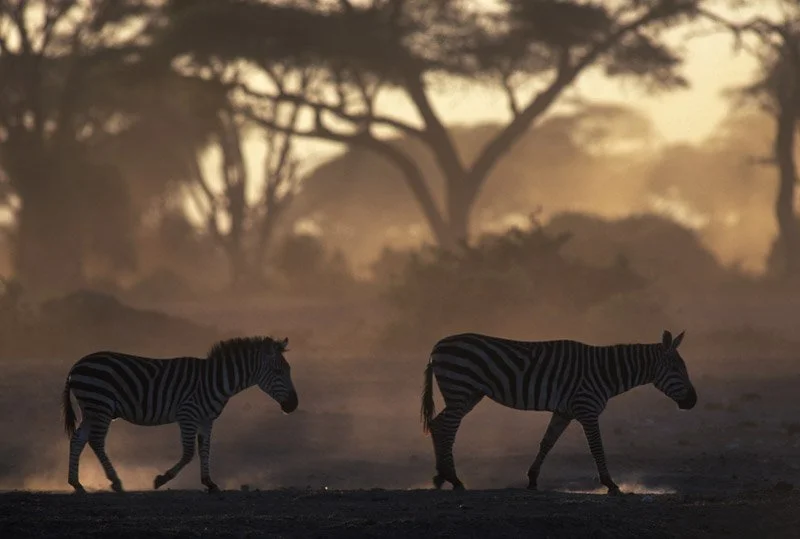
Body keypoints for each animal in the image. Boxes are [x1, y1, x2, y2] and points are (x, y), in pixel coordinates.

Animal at [61, 336, 298, 494]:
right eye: (278, 372)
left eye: (289, 370)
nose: (294, 405)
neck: (215, 380)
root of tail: (77, 364)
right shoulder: (187, 415)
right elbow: (189, 453)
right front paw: (161, 479)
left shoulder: (206, 419)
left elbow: (205, 450)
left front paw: (209, 482)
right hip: (100, 404)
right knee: (96, 441)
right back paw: (116, 481)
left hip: (92, 408)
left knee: (78, 439)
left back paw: (76, 483)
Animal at [420, 329, 697, 494]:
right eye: (676, 368)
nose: (693, 401)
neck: (605, 372)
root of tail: (436, 346)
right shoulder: (587, 409)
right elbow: (597, 447)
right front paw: (610, 484)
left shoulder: (564, 412)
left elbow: (547, 443)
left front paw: (532, 479)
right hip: (460, 388)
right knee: (447, 428)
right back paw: (453, 479)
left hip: (470, 393)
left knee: (437, 424)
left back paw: (440, 476)